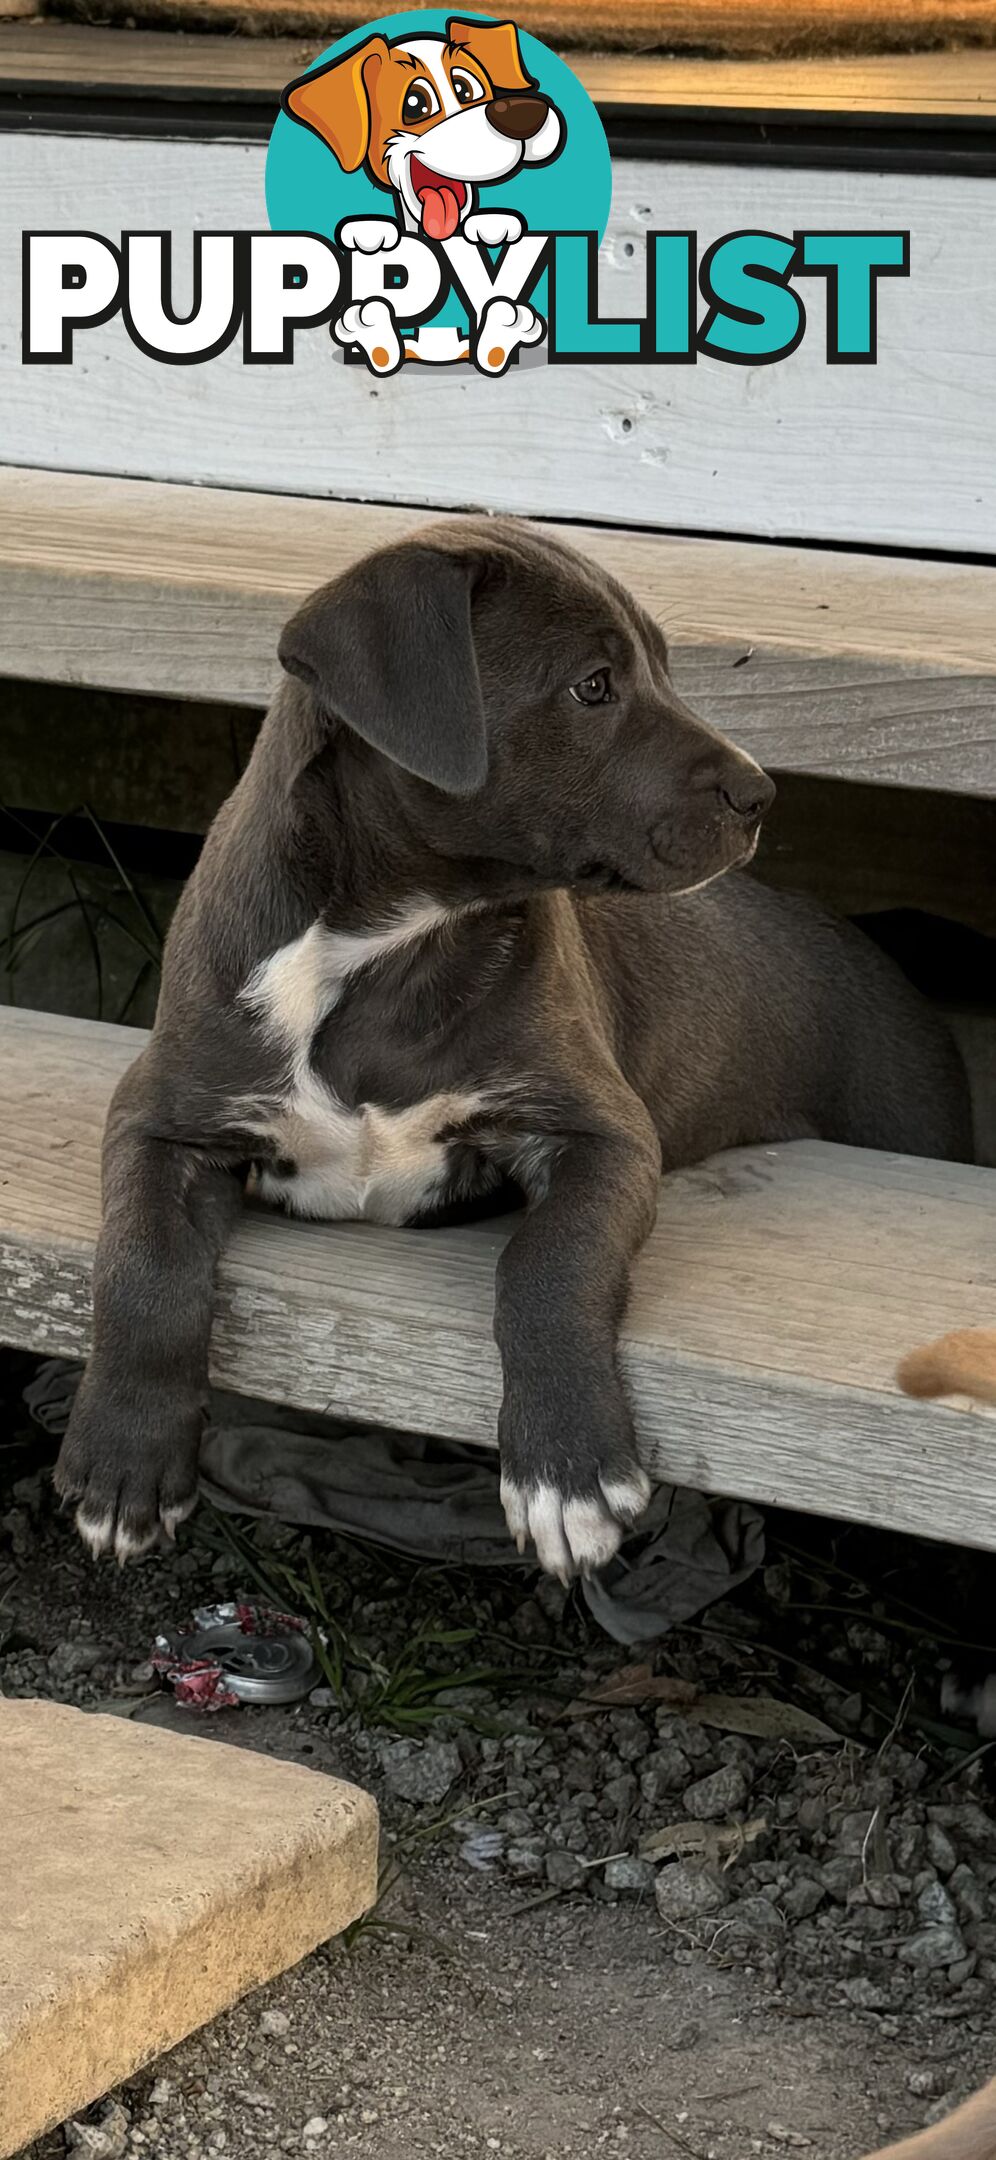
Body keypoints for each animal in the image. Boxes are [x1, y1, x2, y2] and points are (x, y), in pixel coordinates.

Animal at [50, 522, 967, 1572]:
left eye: (660, 668)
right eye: (593, 686)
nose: (760, 794)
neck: (388, 945)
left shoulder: (602, 1133)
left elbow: (548, 1263)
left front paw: (568, 1474)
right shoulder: (163, 1120)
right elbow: (142, 1264)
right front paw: (122, 1459)